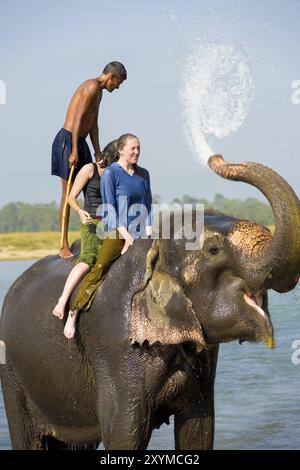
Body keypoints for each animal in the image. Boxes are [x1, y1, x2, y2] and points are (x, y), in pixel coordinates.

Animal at [0, 155, 300, 452]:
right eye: (213, 249)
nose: (216, 157)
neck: (156, 247)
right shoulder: (115, 344)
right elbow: (124, 434)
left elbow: (199, 430)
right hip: (12, 374)